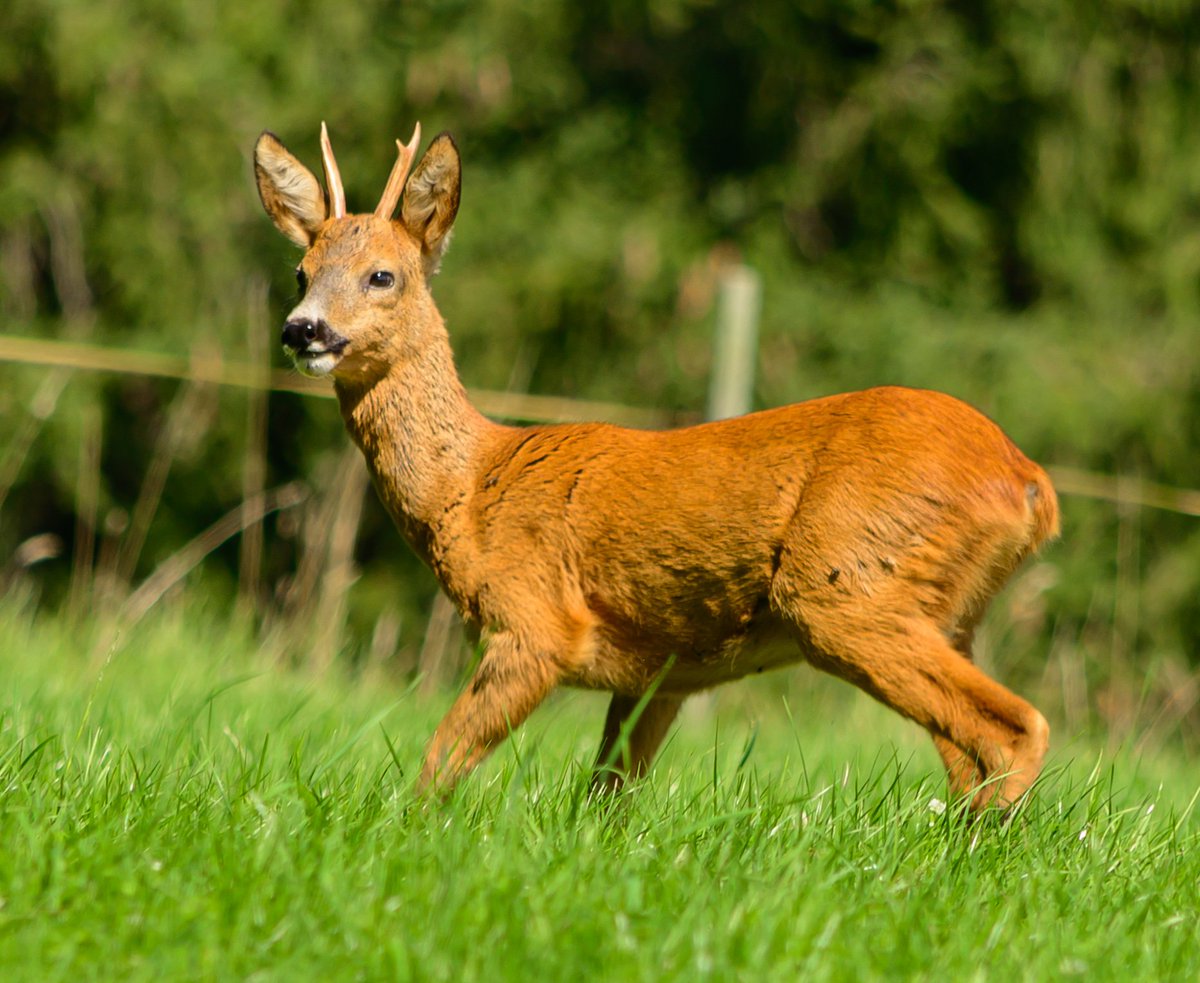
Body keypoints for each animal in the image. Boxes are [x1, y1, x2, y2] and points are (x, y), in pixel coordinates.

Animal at [253, 122, 1059, 813]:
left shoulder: (535, 623)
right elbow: (606, 797)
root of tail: (1029, 482)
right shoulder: (661, 671)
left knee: (1016, 730)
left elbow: (438, 766)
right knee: (968, 755)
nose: (302, 329)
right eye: (299, 271)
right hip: (941, 610)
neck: (473, 485)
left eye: (382, 275)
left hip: (844, 589)